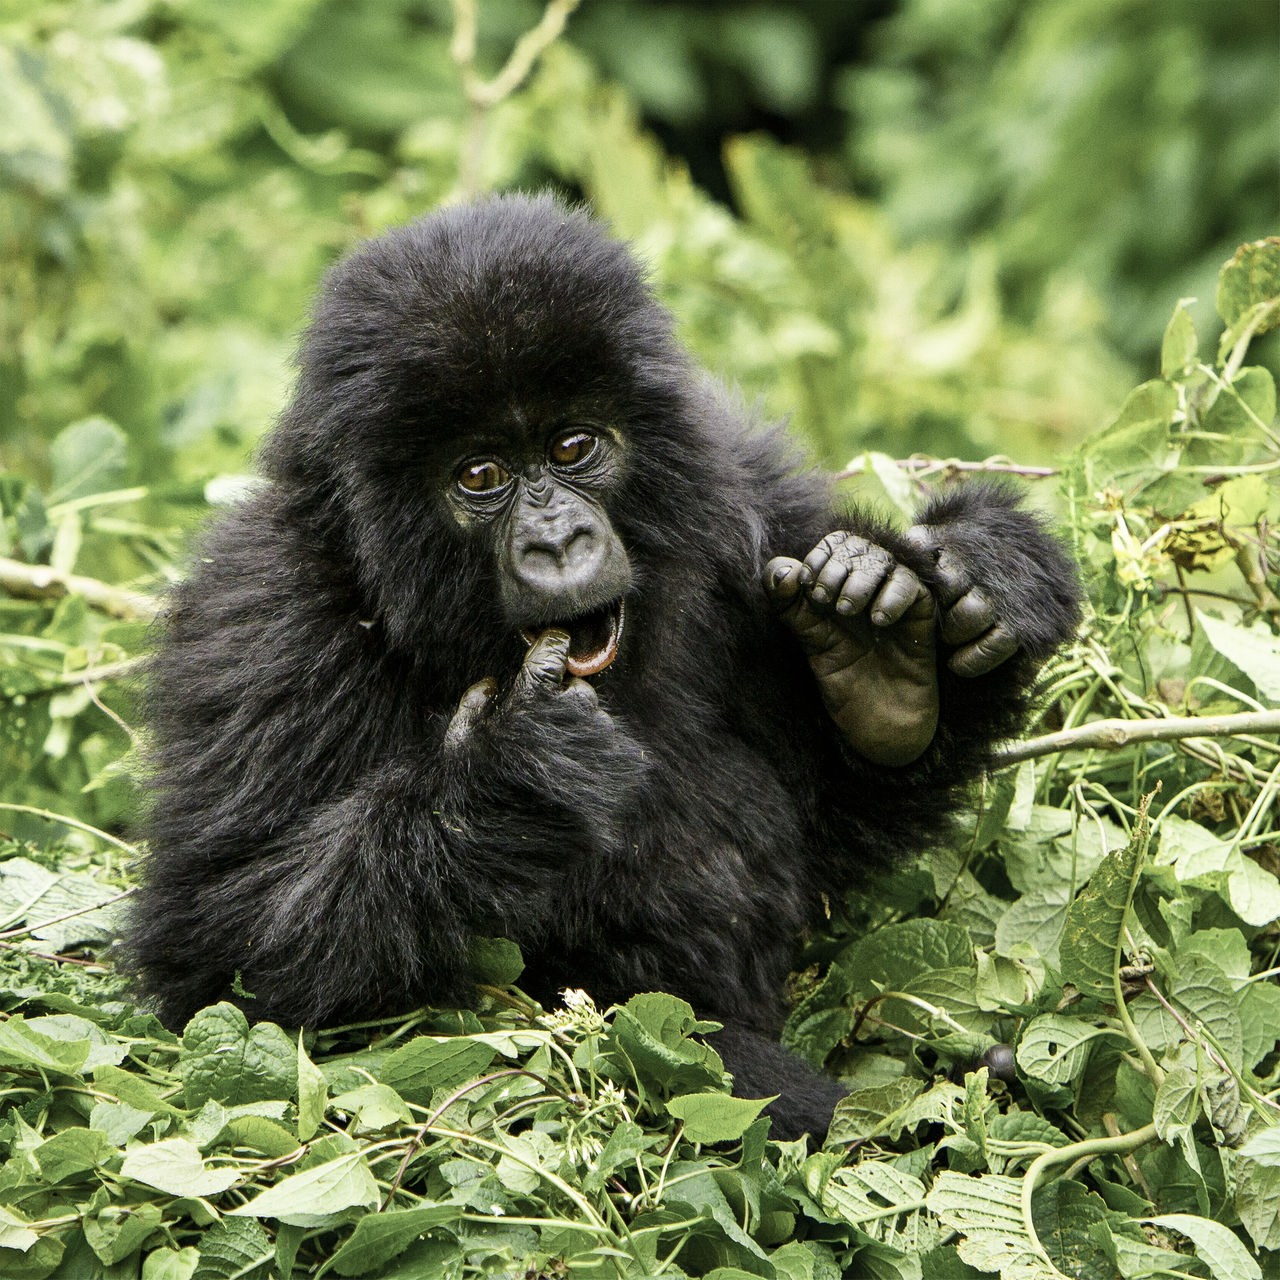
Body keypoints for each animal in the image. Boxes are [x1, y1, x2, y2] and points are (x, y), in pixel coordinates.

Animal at [127, 192, 1080, 1141]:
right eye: (481, 473)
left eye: (572, 447)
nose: (558, 542)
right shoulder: (261, 618)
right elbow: (215, 956)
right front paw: (514, 777)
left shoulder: (744, 486)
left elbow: (831, 828)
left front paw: (933, 623)